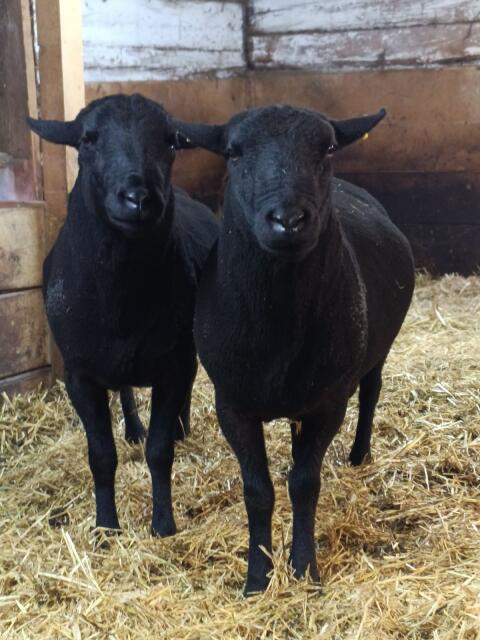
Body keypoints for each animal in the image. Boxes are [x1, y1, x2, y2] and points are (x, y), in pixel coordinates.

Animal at [27, 94, 219, 536]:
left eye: (170, 141)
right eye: (88, 139)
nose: (139, 198)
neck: (121, 302)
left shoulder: (174, 364)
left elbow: (160, 450)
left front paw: (163, 525)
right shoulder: (79, 375)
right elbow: (101, 456)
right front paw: (105, 528)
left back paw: (181, 428)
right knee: (126, 392)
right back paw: (133, 429)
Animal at [174, 105, 415, 593]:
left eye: (327, 148)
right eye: (234, 151)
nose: (288, 220)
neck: (277, 326)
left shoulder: (328, 402)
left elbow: (304, 484)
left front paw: (304, 569)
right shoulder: (233, 404)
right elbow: (258, 490)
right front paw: (258, 576)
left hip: (374, 352)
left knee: (371, 393)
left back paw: (359, 455)